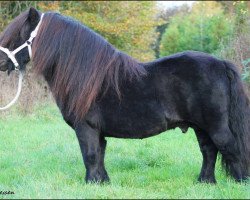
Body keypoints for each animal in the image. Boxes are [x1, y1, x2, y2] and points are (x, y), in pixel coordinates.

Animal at [0, 7, 249, 184]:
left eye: (16, 36)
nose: (1, 63)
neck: (85, 75)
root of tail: (221, 64)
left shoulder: (85, 127)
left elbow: (90, 155)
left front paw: (91, 183)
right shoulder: (97, 131)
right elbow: (99, 155)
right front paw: (101, 183)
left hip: (215, 126)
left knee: (229, 148)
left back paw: (239, 183)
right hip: (201, 126)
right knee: (209, 151)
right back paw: (204, 182)